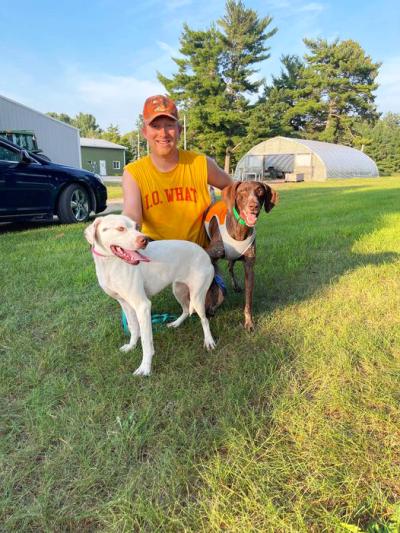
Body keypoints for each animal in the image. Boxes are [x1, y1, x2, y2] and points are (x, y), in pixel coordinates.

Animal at [85, 214, 216, 376]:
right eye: (120, 228)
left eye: (136, 227)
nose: (145, 240)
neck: (111, 264)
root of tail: (205, 254)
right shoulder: (125, 304)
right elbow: (133, 328)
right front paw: (131, 346)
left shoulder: (143, 306)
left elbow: (146, 342)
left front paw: (145, 368)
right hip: (178, 290)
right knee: (186, 310)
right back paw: (176, 323)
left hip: (197, 297)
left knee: (204, 320)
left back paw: (209, 341)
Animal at [203, 181, 278, 330]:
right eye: (242, 191)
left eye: (260, 191)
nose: (253, 206)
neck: (240, 229)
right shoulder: (210, 256)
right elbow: (211, 286)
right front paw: (209, 306)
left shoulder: (249, 267)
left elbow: (248, 301)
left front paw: (249, 322)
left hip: (233, 257)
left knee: (230, 267)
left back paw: (235, 285)